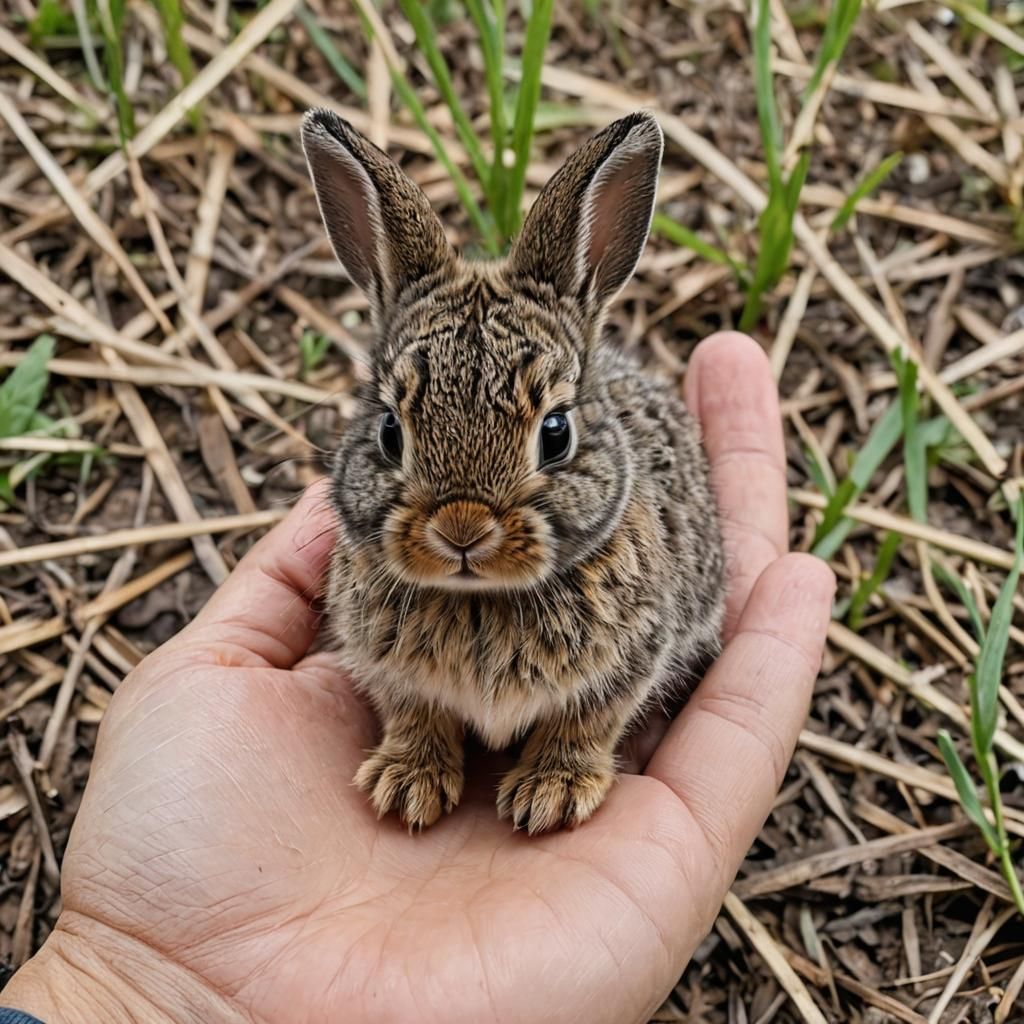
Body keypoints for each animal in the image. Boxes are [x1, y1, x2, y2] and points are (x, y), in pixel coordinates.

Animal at [301, 107, 725, 835]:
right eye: (389, 431)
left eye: (556, 434)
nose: (462, 530)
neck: (482, 600)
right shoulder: (392, 678)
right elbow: (414, 717)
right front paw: (407, 784)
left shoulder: (628, 665)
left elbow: (584, 725)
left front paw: (551, 792)